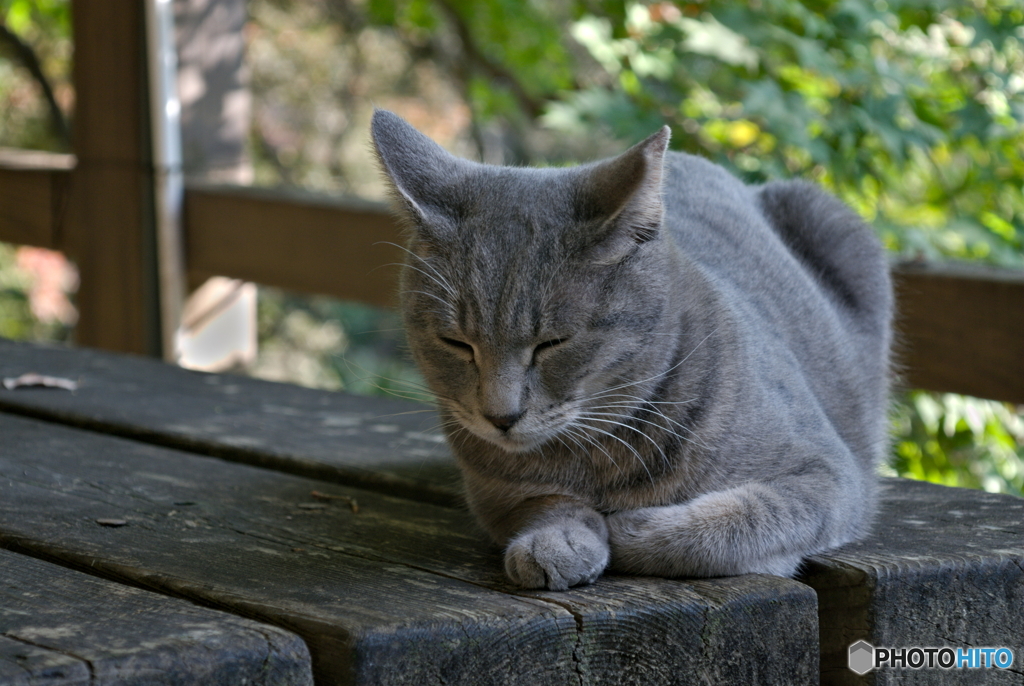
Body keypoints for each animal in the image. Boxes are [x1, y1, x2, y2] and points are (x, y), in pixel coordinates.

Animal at [372, 109, 892, 589]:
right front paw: (558, 540)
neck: (599, 457)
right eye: (456, 343)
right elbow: (542, 503)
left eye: (553, 342)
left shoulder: (828, 477)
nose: (500, 416)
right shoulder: (494, 495)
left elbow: (737, 521)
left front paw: (630, 530)